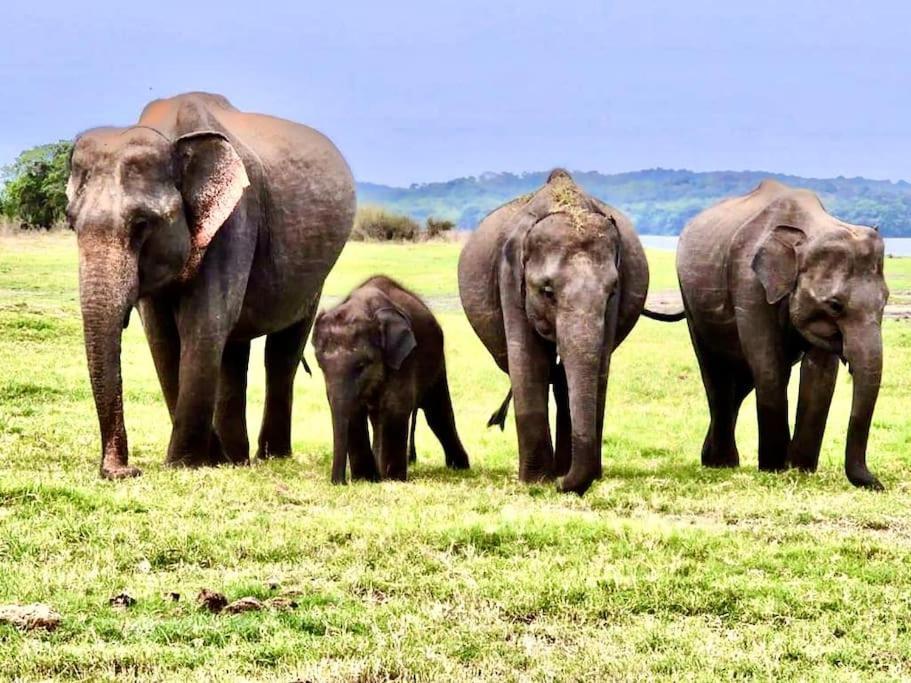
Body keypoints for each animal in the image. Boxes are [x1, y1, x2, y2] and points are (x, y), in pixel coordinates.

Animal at [64, 92, 354, 480]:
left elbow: (202, 325)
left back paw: (270, 456)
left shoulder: (235, 221)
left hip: (315, 274)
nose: (124, 470)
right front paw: (210, 459)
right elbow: (162, 337)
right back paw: (236, 458)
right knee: (233, 352)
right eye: (71, 222)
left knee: (282, 352)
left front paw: (183, 464)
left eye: (142, 224)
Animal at [314, 276, 470, 484]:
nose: (340, 483)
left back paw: (460, 466)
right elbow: (354, 411)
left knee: (437, 413)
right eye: (321, 366)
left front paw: (392, 479)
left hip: (437, 362)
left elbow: (394, 406)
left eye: (362, 365)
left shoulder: (404, 357)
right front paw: (366, 479)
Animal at [460, 168, 652, 494]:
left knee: (563, 379)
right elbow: (530, 362)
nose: (562, 485)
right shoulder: (509, 278)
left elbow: (599, 365)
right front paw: (536, 482)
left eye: (611, 292)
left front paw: (562, 477)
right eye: (547, 291)